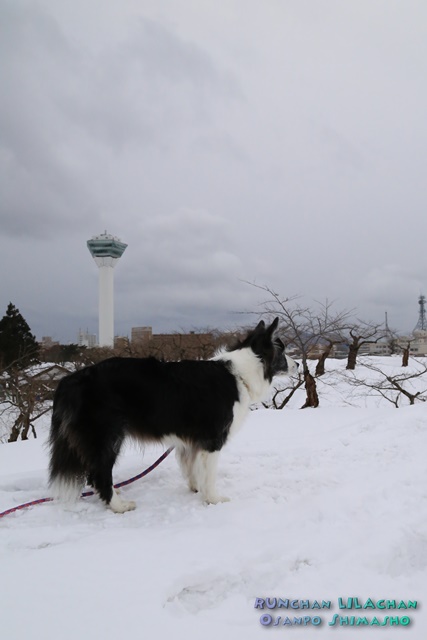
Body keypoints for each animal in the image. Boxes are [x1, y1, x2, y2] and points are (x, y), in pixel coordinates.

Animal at [48, 318, 298, 512]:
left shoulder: (192, 441)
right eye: (282, 351)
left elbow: (193, 467)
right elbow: (209, 474)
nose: (297, 364)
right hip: (107, 436)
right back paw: (118, 505)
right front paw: (213, 499)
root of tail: (72, 379)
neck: (241, 373)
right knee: (99, 473)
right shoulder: (213, 440)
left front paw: (196, 488)